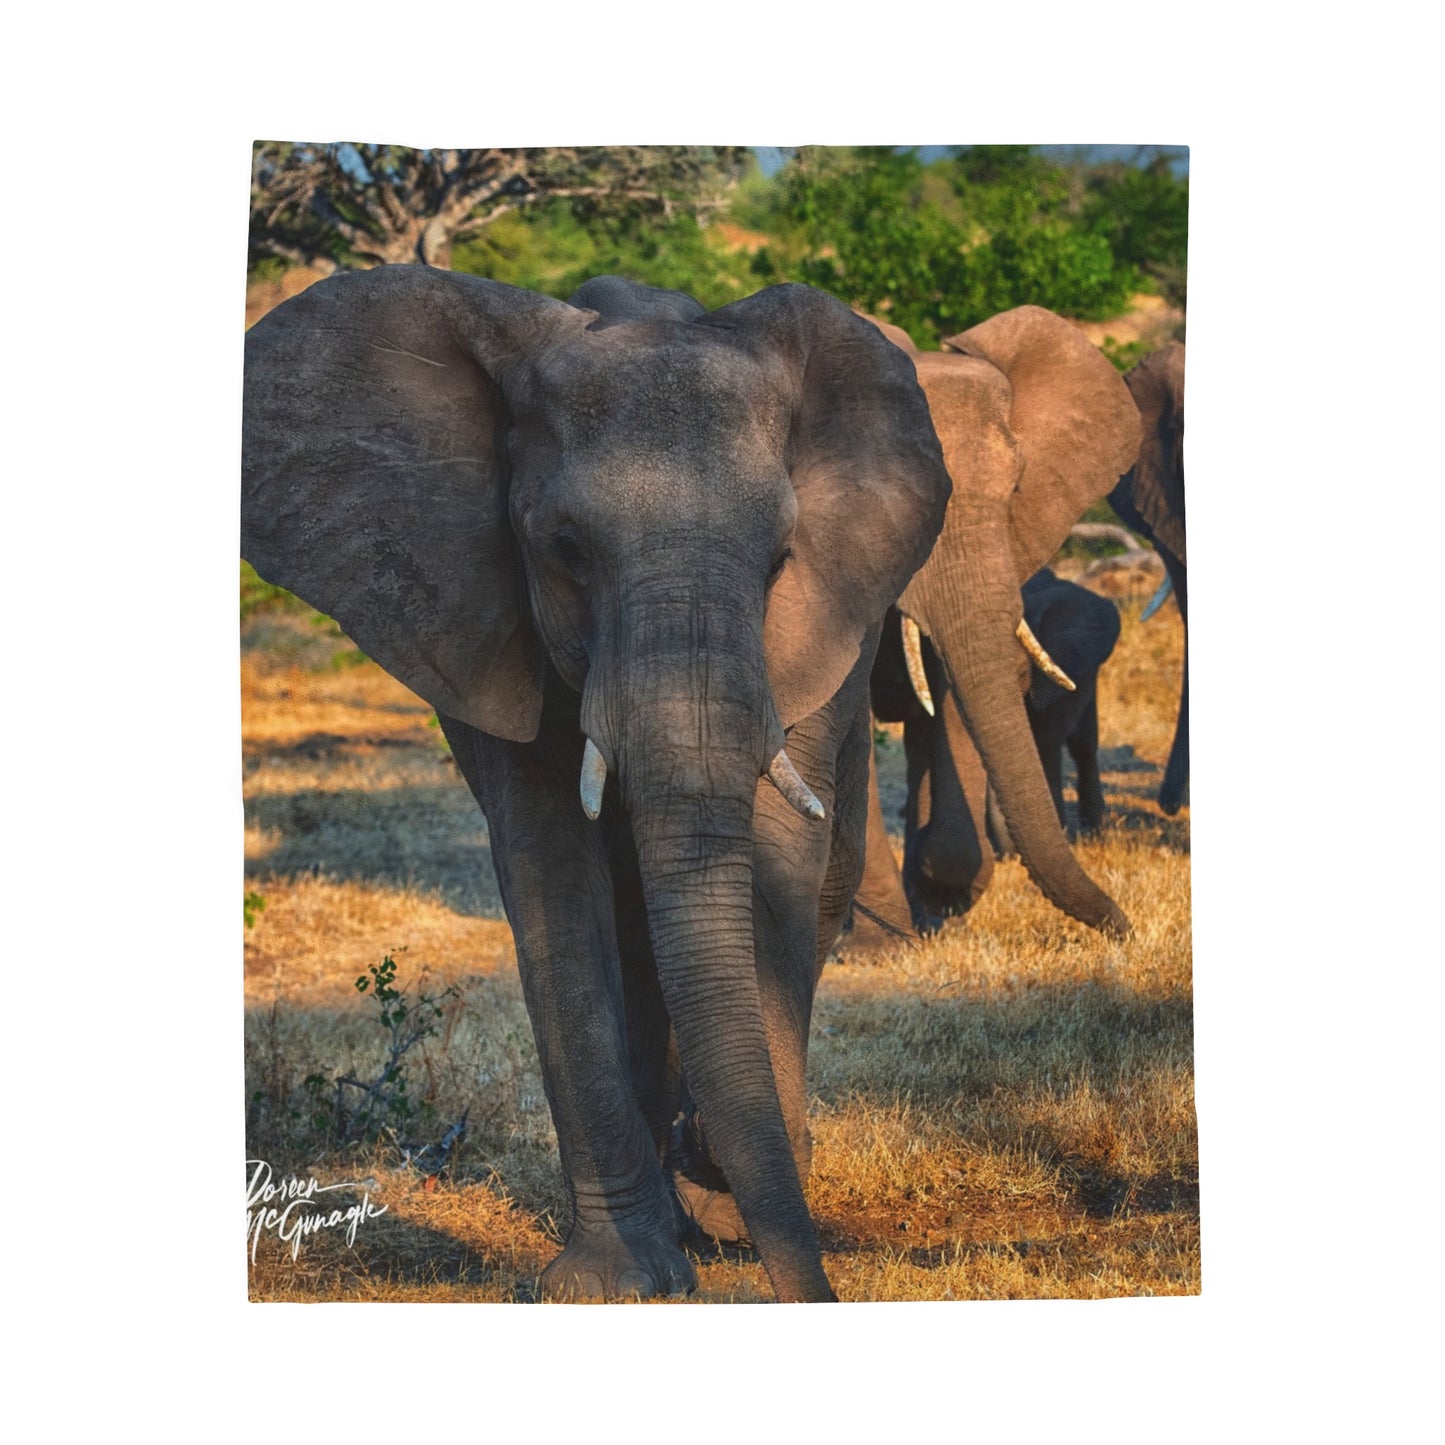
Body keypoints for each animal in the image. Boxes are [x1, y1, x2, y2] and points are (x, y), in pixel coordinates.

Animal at [242, 266, 953, 1303]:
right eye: (565, 547)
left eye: (779, 559)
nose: (814, 1294)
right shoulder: (482, 611)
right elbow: (551, 872)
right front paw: (619, 1280)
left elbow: (775, 850)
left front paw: (719, 1188)